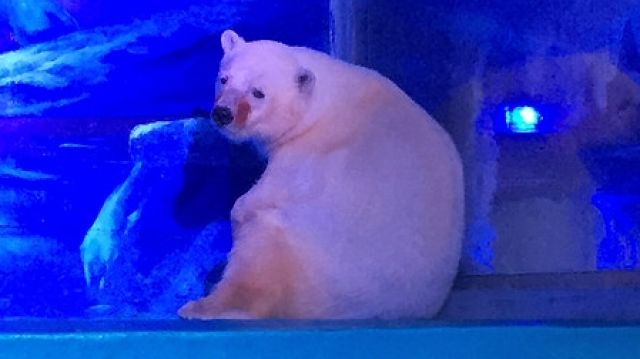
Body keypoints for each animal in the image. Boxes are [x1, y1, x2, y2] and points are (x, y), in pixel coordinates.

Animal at [178, 29, 462, 320]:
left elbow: (274, 190)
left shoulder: (312, 152)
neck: (328, 101)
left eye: (258, 93)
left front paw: (238, 211)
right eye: (224, 79)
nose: (223, 113)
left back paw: (204, 305)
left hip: (304, 257)